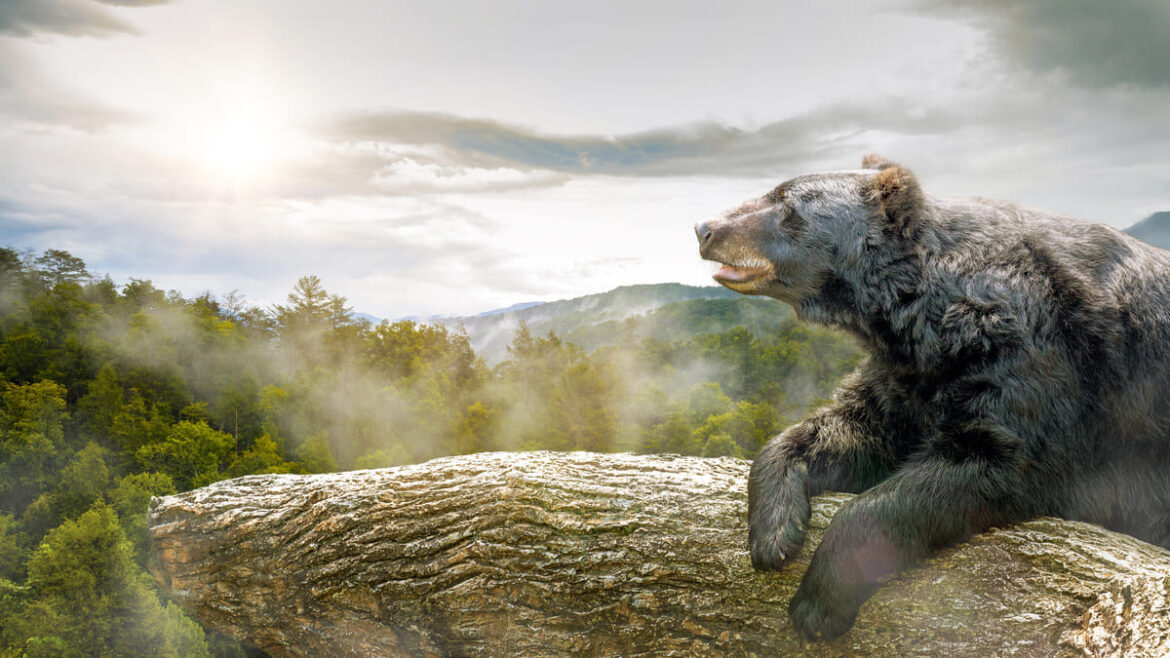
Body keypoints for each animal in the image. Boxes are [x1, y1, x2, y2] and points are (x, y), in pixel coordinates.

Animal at [692, 155, 1170, 636]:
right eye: (774, 192)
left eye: (784, 203)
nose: (703, 227)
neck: (928, 313)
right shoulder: (906, 372)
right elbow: (849, 427)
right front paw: (773, 532)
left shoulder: (1037, 354)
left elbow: (993, 457)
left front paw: (817, 604)